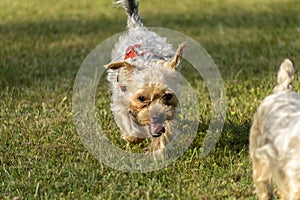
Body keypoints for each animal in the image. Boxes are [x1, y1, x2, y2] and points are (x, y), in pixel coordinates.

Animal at [105, 0, 185, 155]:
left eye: (168, 96)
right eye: (141, 98)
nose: (156, 116)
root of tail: (138, 28)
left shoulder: (169, 111)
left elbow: (165, 128)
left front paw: (158, 149)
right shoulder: (121, 102)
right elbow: (127, 120)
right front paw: (133, 137)